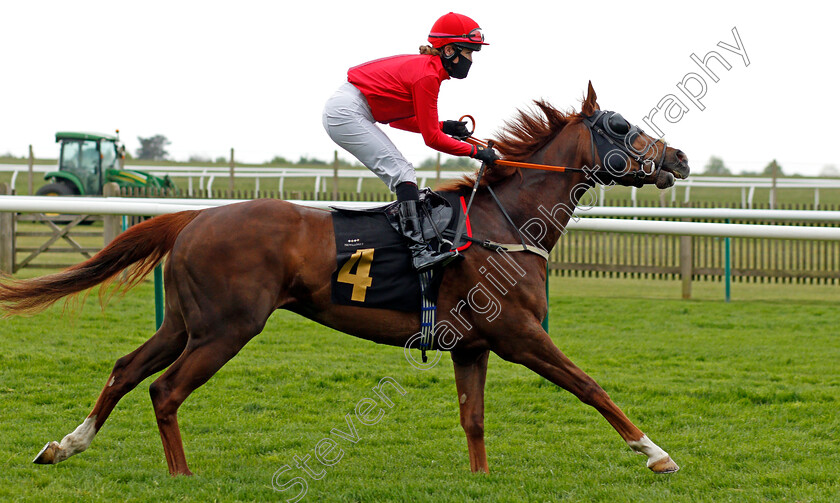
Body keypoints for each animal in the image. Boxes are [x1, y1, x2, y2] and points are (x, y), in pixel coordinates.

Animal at [1, 82, 688, 476]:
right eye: (621, 126)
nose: (679, 157)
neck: (507, 221)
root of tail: (195, 216)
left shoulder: (472, 346)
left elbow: (473, 420)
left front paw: (480, 480)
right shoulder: (520, 335)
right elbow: (591, 386)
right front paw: (656, 453)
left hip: (185, 322)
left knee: (125, 369)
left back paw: (64, 445)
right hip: (226, 329)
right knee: (165, 391)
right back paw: (181, 477)